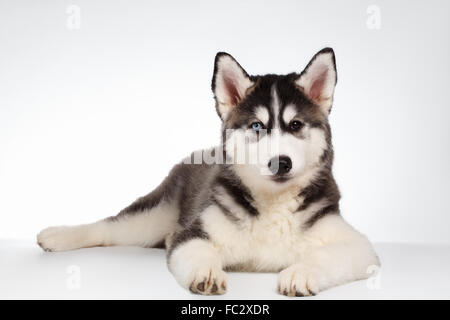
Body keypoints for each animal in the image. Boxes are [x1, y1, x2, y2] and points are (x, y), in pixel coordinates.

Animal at [37, 48, 380, 296]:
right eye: (257, 126)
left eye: (295, 125)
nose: (280, 162)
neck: (273, 203)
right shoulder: (194, 232)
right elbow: (198, 251)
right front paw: (207, 272)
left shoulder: (358, 246)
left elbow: (328, 255)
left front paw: (301, 272)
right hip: (153, 217)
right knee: (109, 227)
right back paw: (57, 235)